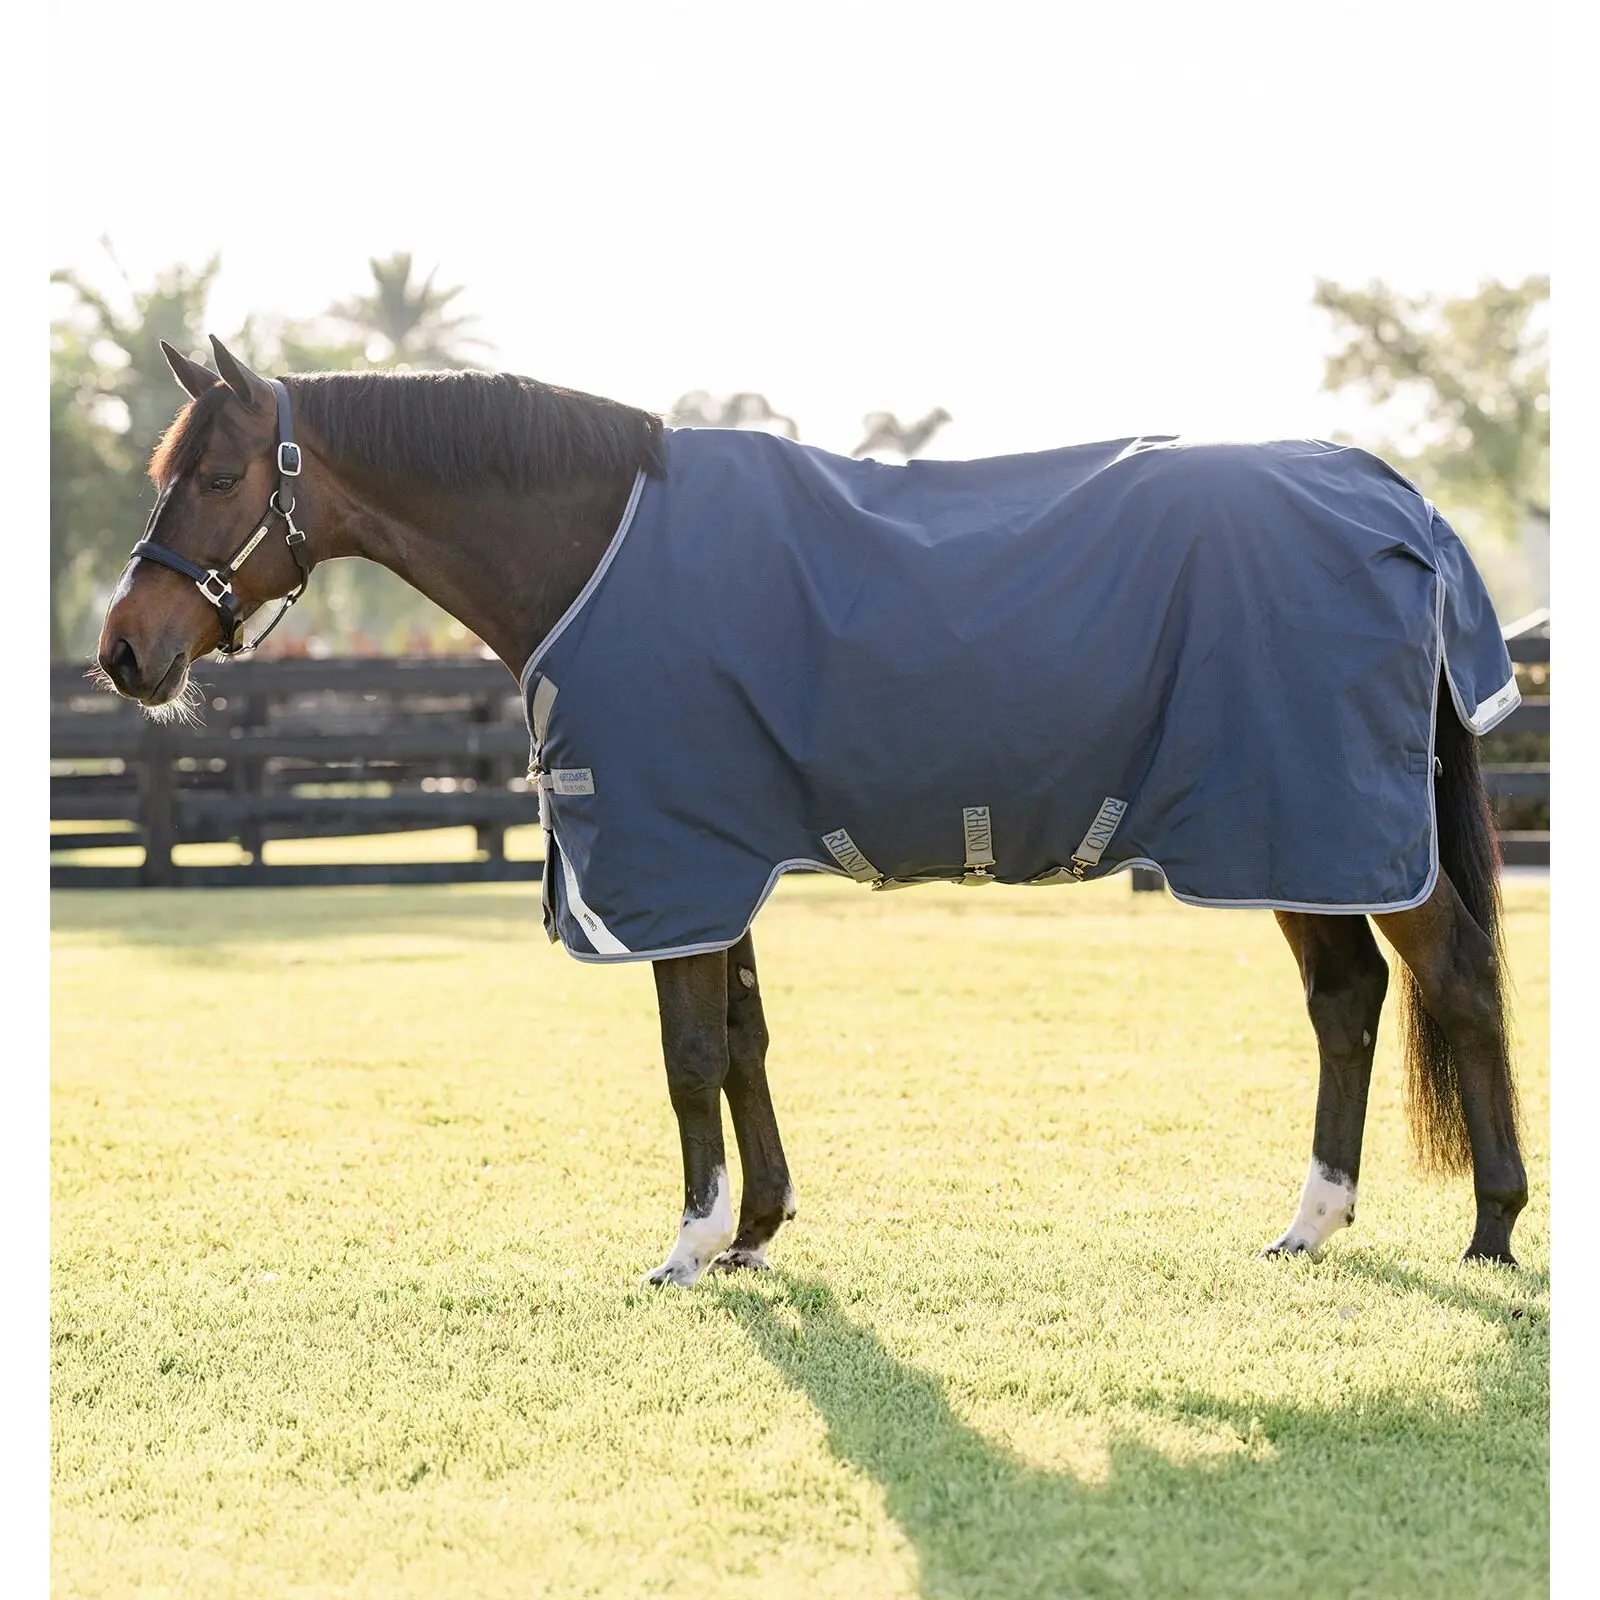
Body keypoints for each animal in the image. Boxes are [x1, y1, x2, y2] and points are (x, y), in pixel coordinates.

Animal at [92, 336, 1529, 1285]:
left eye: (215, 477)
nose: (123, 651)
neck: (598, 546)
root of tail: (1397, 498)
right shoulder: (719, 857)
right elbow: (743, 1040)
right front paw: (755, 1230)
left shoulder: (669, 857)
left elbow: (686, 1054)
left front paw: (687, 1245)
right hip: (1286, 833)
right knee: (1347, 999)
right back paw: (1313, 1222)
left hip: (1337, 827)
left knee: (1451, 978)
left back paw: (1494, 1227)